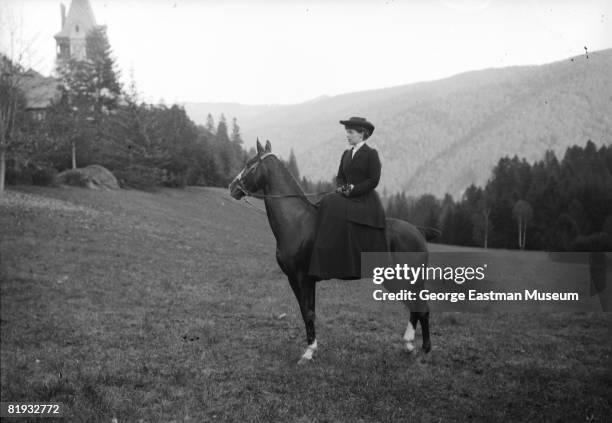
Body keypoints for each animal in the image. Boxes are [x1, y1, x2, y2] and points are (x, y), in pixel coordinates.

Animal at [227, 141, 432, 366]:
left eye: (249, 164)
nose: (232, 187)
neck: (297, 222)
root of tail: (418, 234)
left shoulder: (303, 278)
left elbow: (308, 313)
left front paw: (308, 353)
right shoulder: (296, 279)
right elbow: (306, 311)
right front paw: (311, 348)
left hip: (404, 280)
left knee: (421, 308)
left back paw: (423, 348)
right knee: (416, 307)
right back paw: (410, 345)